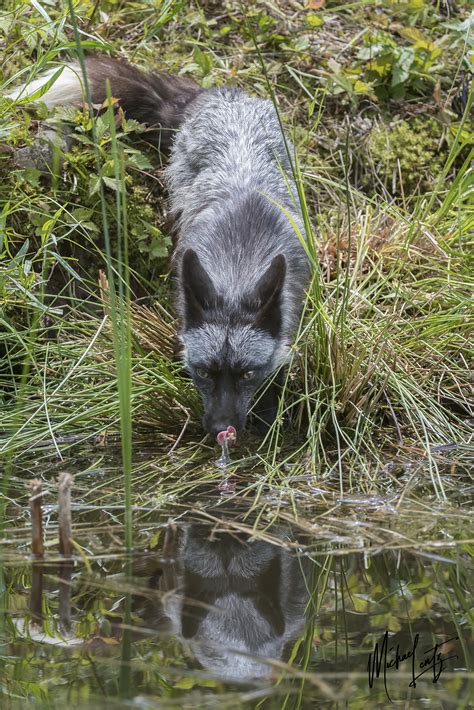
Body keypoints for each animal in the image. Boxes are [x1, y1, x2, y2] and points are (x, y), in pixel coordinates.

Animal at [9, 57, 312, 434]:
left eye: (247, 374)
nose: (220, 428)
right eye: (203, 371)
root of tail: (221, 94)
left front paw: (268, 413)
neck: (238, 263)